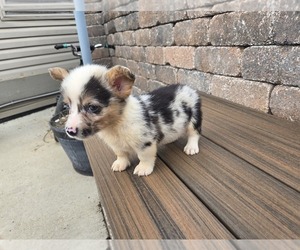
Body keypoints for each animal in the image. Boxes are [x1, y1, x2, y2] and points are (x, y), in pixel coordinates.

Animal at [49, 65, 203, 177]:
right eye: (66, 106)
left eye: (92, 107)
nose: (69, 131)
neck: (115, 125)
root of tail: (187, 87)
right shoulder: (116, 145)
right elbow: (121, 155)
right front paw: (120, 164)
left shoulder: (145, 142)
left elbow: (144, 157)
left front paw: (143, 169)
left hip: (194, 117)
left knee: (194, 133)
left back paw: (191, 147)